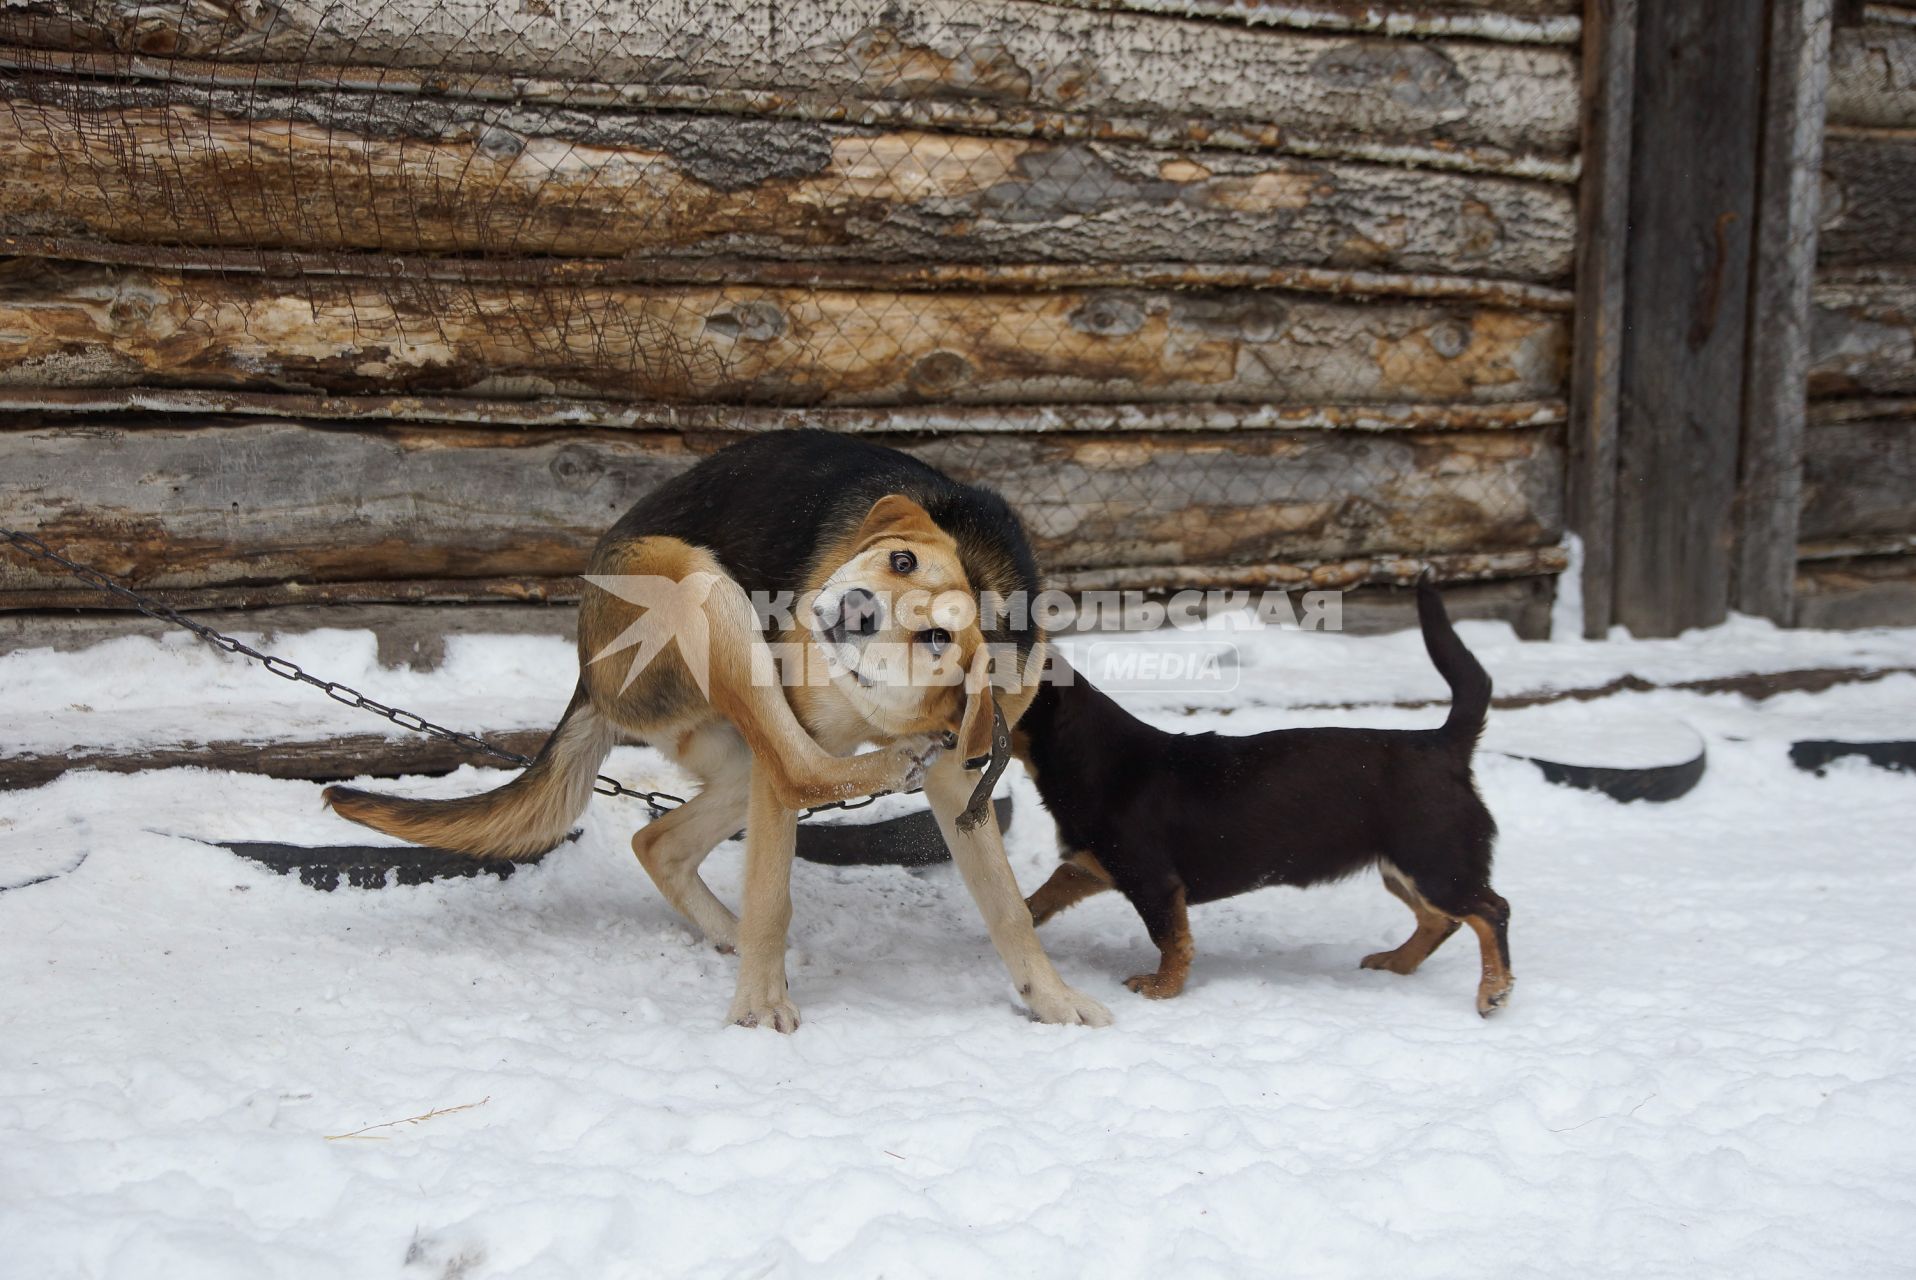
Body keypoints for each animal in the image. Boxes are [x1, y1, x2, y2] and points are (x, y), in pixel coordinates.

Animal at [327, 429, 1111, 1027]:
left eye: (937, 638)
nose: (858, 608)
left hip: (733, 752)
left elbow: (1008, 908)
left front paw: (1053, 1000)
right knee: (797, 771)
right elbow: (772, 894)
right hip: (705, 591)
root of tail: (586, 668)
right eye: (901, 558)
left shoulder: (961, 783)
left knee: (661, 839)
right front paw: (758, 1010)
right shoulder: (801, 742)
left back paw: (729, 926)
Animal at [1019, 578, 1509, 1019]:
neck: (1095, 757)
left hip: (1434, 863)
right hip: (1403, 868)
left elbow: (1170, 940)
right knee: (1440, 919)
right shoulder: (1097, 865)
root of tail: (1443, 744)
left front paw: (1162, 989)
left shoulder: (1153, 882)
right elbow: (1051, 887)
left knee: (1491, 910)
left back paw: (1494, 990)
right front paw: (1024, 912)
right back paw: (1398, 962)